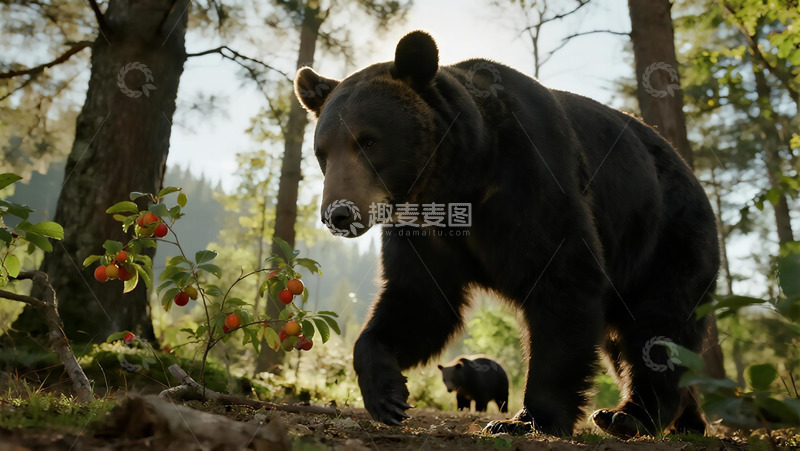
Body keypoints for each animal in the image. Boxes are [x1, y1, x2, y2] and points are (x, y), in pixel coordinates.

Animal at [293, 31, 719, 437]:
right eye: (322, 152)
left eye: (368, 141)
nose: (338, 214)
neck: (458, 181)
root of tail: (691, 172)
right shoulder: (423, 231)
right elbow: (419, 300)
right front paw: (388, 394)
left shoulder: (529, 184)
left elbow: (563, 278)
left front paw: (528, 418)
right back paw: (686, 419)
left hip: (665, 239)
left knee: (657, 327)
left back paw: (630, 415)